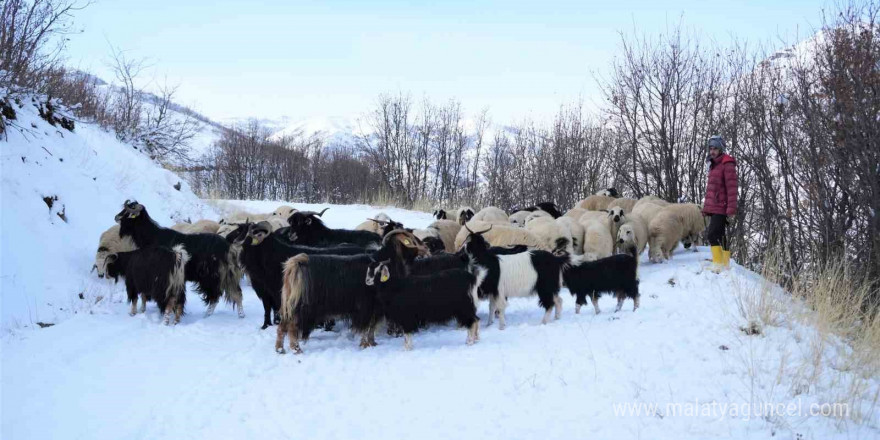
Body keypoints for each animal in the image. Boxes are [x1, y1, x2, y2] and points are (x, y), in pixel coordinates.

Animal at [115, 201, 244, 318]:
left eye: (129, 211)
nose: (116, 217)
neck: (153, 237)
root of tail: (228, 245)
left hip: (212, 277)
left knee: (215, 296)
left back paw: (208, 315)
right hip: (226, 275)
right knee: (236, 293)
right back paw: (240, 314)